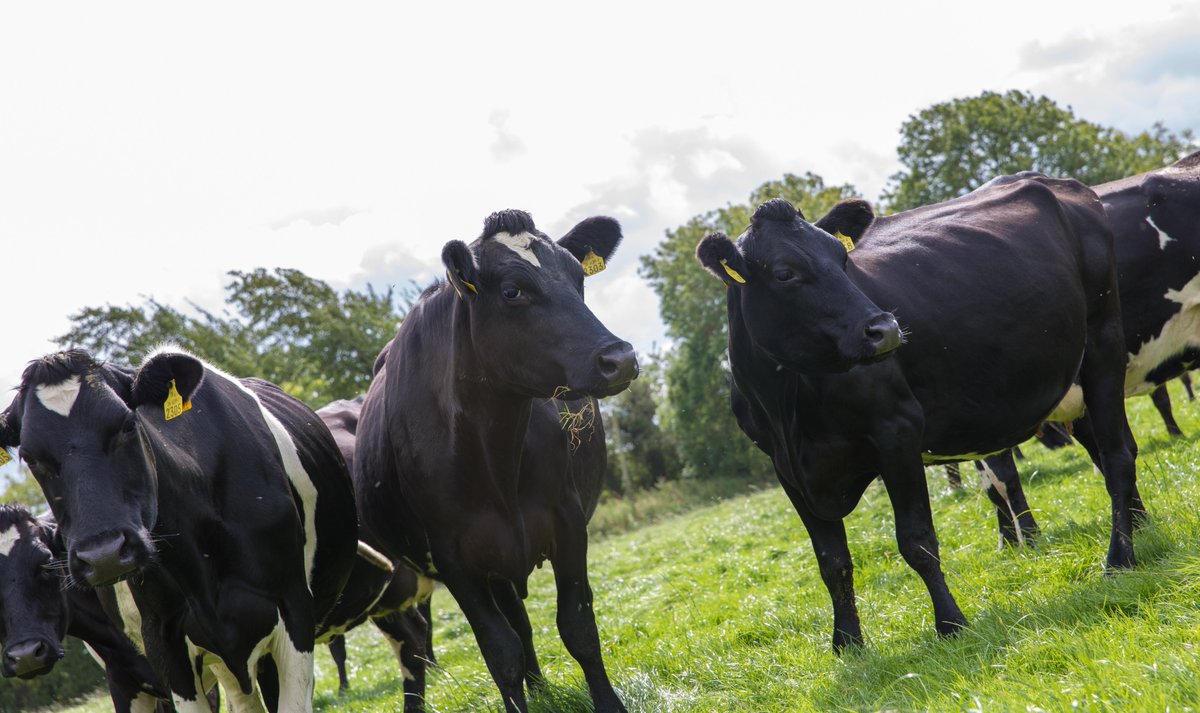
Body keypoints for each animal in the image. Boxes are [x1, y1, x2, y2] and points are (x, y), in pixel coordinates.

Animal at [354, 209, 638, 713]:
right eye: (512, 291)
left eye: (578, 276)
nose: (619, 358)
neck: (493, 454)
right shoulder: (453, 557)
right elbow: (499, 651)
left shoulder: (567, 520)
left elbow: (579, 626)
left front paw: (608, 704)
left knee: (523, 621)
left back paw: (541, 688)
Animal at [696, 175, 1138, 652]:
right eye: (784, 273)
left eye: (841, 258)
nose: (884, 329)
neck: (787, 410)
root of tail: (1058, 182)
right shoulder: (785, 469)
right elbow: (832, 560)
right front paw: (847, 643)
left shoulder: (897, 430)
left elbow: (916, 540)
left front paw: (950, 623)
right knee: (1114, 449)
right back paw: (1142, 528)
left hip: (1104, 342)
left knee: (1116, 456)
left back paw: (1120, 559)